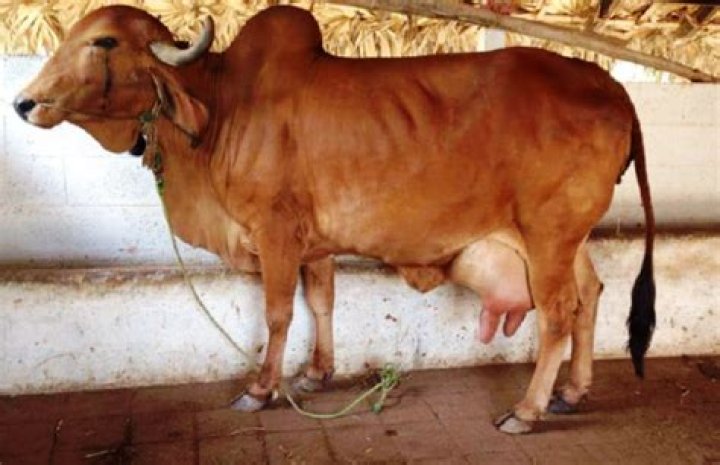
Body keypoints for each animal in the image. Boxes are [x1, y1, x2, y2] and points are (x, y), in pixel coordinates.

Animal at [13, 5, 655, 434]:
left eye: (103, 41)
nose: (24, 102)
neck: (222, 107)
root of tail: (610, 84)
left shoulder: (274, 231)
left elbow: (277, 312)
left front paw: (262, 388)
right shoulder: (313, 243)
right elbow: (321, 301)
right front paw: (316, 373)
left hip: (548, 235)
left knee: (558, 314)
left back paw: (528, 409)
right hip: (569, 238)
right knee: (592, 294)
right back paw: (573, 391)